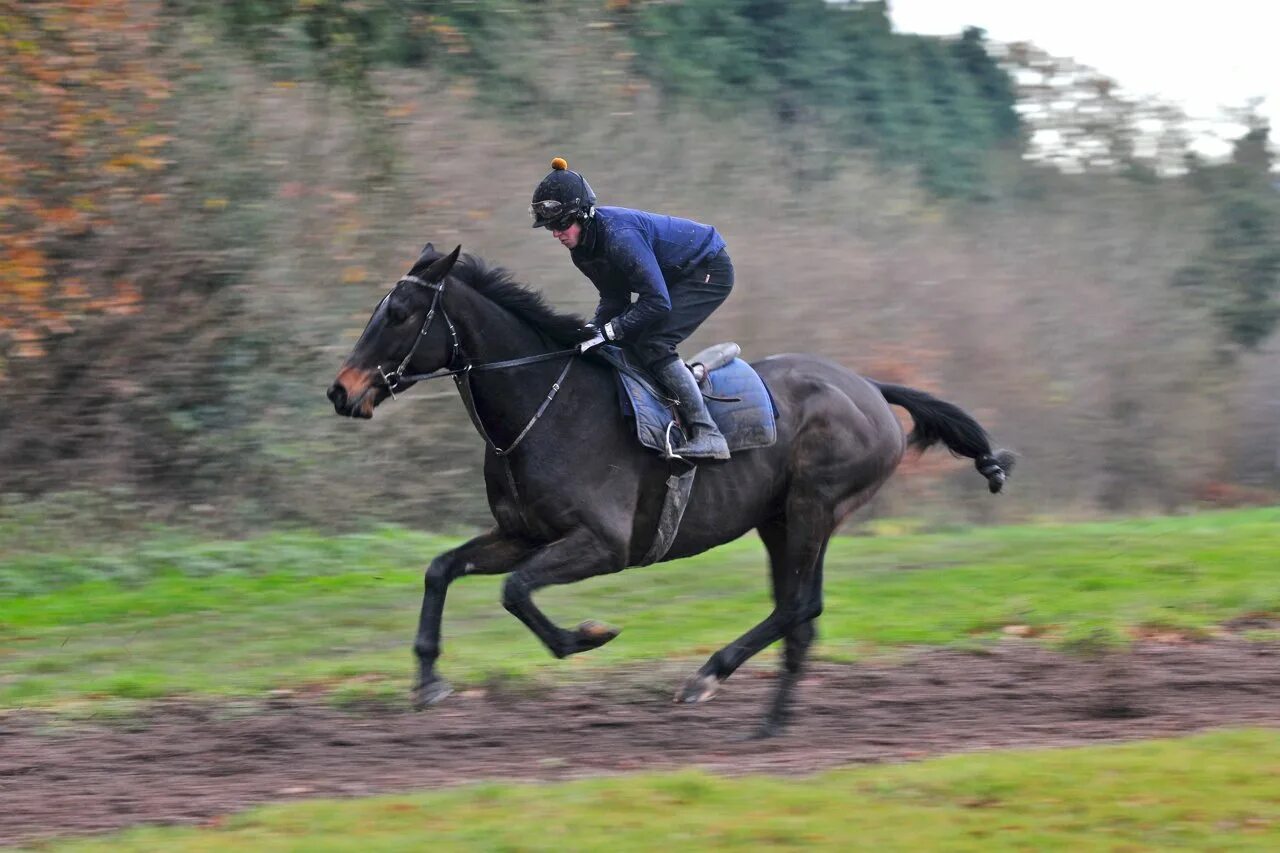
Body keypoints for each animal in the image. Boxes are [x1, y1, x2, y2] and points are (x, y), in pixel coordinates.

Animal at [332, 242, 1018, 732]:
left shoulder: (604, 544)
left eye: (398, 314)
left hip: (814, 507)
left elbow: (516, 591)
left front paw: (586, 635)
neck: (543, 408)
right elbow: (443, 569)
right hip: (781, 519)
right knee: (802, 611)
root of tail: (871, 388)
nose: (342, 391)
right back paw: (772, 718)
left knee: (796, 607)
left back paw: (711, 678)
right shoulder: (522, 532)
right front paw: (427, 681)